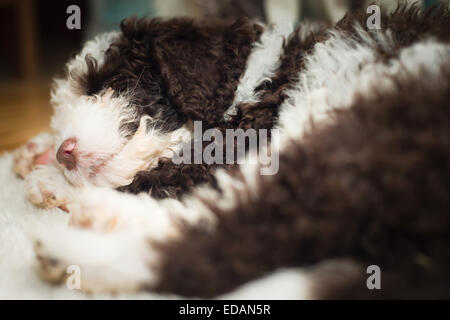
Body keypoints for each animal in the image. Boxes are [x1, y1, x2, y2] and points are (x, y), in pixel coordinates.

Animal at [12, 5, 450, 298]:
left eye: (108, 84)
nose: (64, 152)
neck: (256, 79)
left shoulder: (245, 139)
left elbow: (166, 175)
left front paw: (49, 178)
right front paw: (36, 151)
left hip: (364, 130)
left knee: (241, 231)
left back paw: (77, 246)